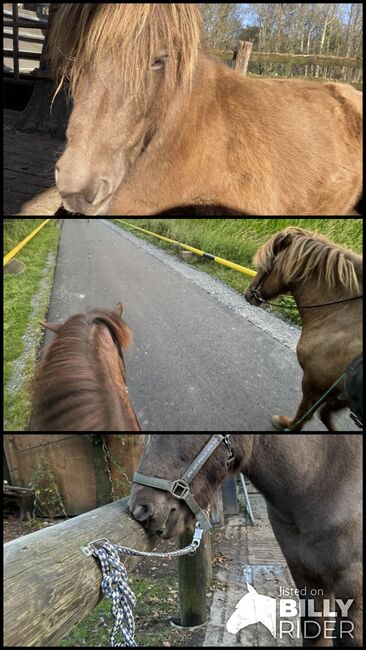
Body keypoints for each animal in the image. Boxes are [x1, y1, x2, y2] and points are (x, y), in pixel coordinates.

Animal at [244, 228, 362, 430]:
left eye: (265, 266)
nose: (248, 293)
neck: (340, 313)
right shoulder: (339, 395)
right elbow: (325, 415)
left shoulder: (313, 383)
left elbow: (303, 416)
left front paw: (284, 423)